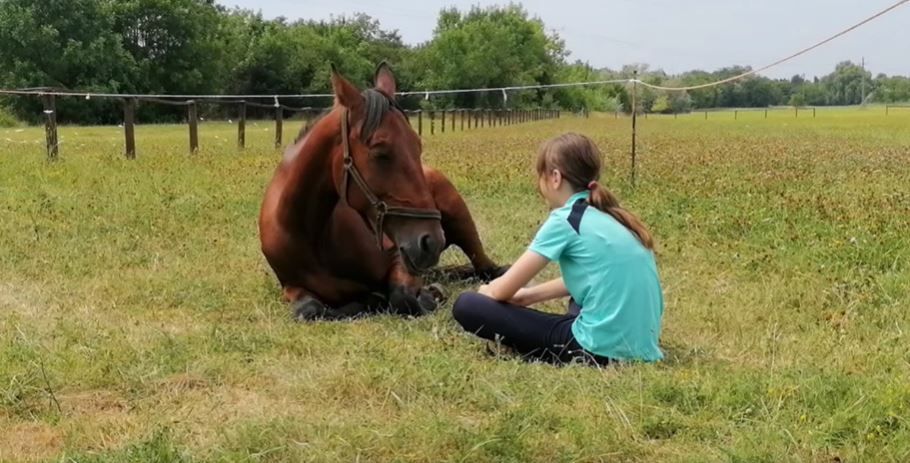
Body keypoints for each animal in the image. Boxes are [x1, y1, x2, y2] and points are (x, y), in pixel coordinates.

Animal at [260, 62, 510, 322]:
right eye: (380, 152)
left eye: (417, 146)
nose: (431, 242)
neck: (311, 234)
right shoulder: (291, 287)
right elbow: (310, 310)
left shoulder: (400, 259)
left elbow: (403, 298)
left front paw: (429, 295)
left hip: (461, 222)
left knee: (487, 268)